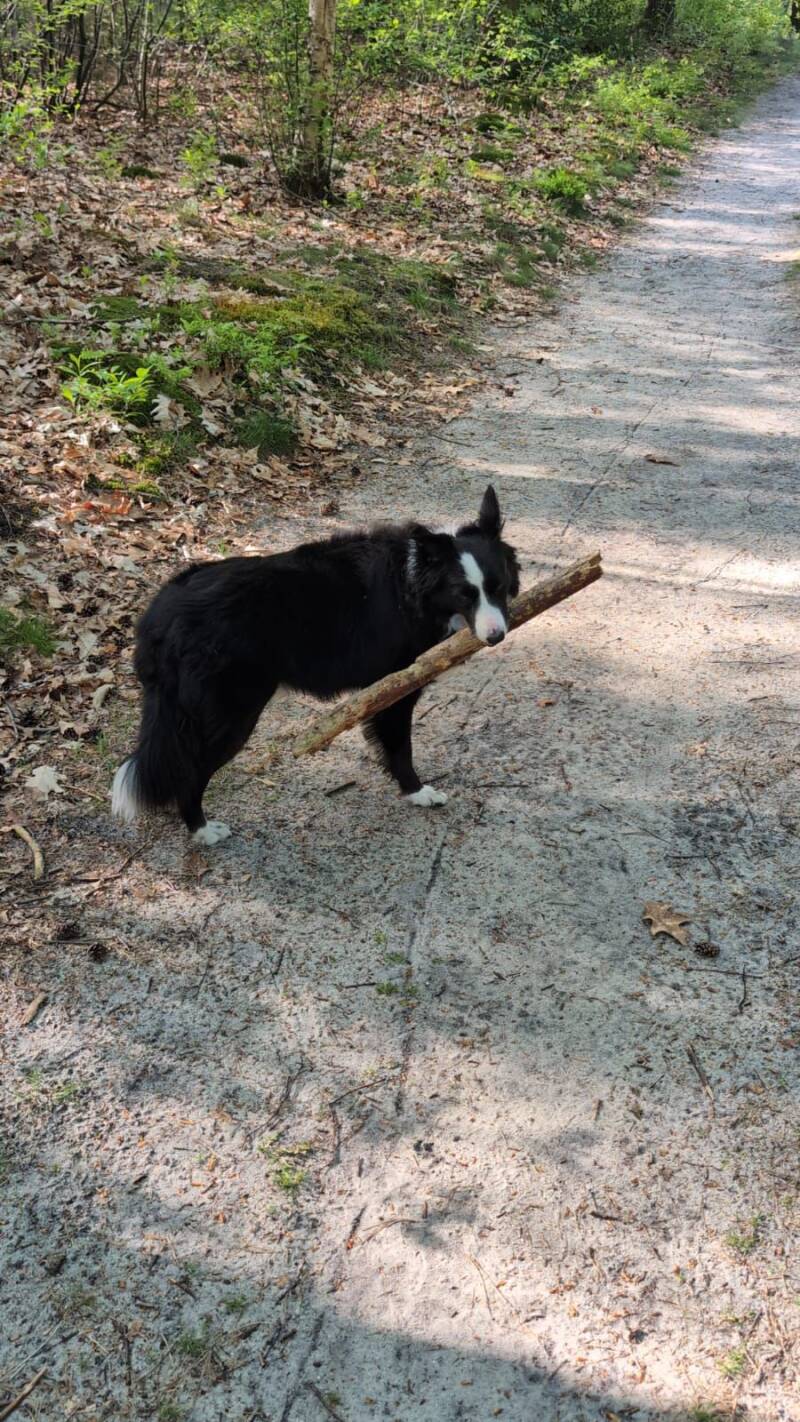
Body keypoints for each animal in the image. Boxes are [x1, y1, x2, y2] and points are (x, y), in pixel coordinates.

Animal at [111, 485, 519, 843]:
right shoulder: (397, 687)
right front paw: (416, 791)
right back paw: (201, 829)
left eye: (498, 588)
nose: (496, 636)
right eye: (465, 594)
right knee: (190, 771)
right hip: (231, 714)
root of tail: (159, 614)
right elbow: (400, 747)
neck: (415, 582)